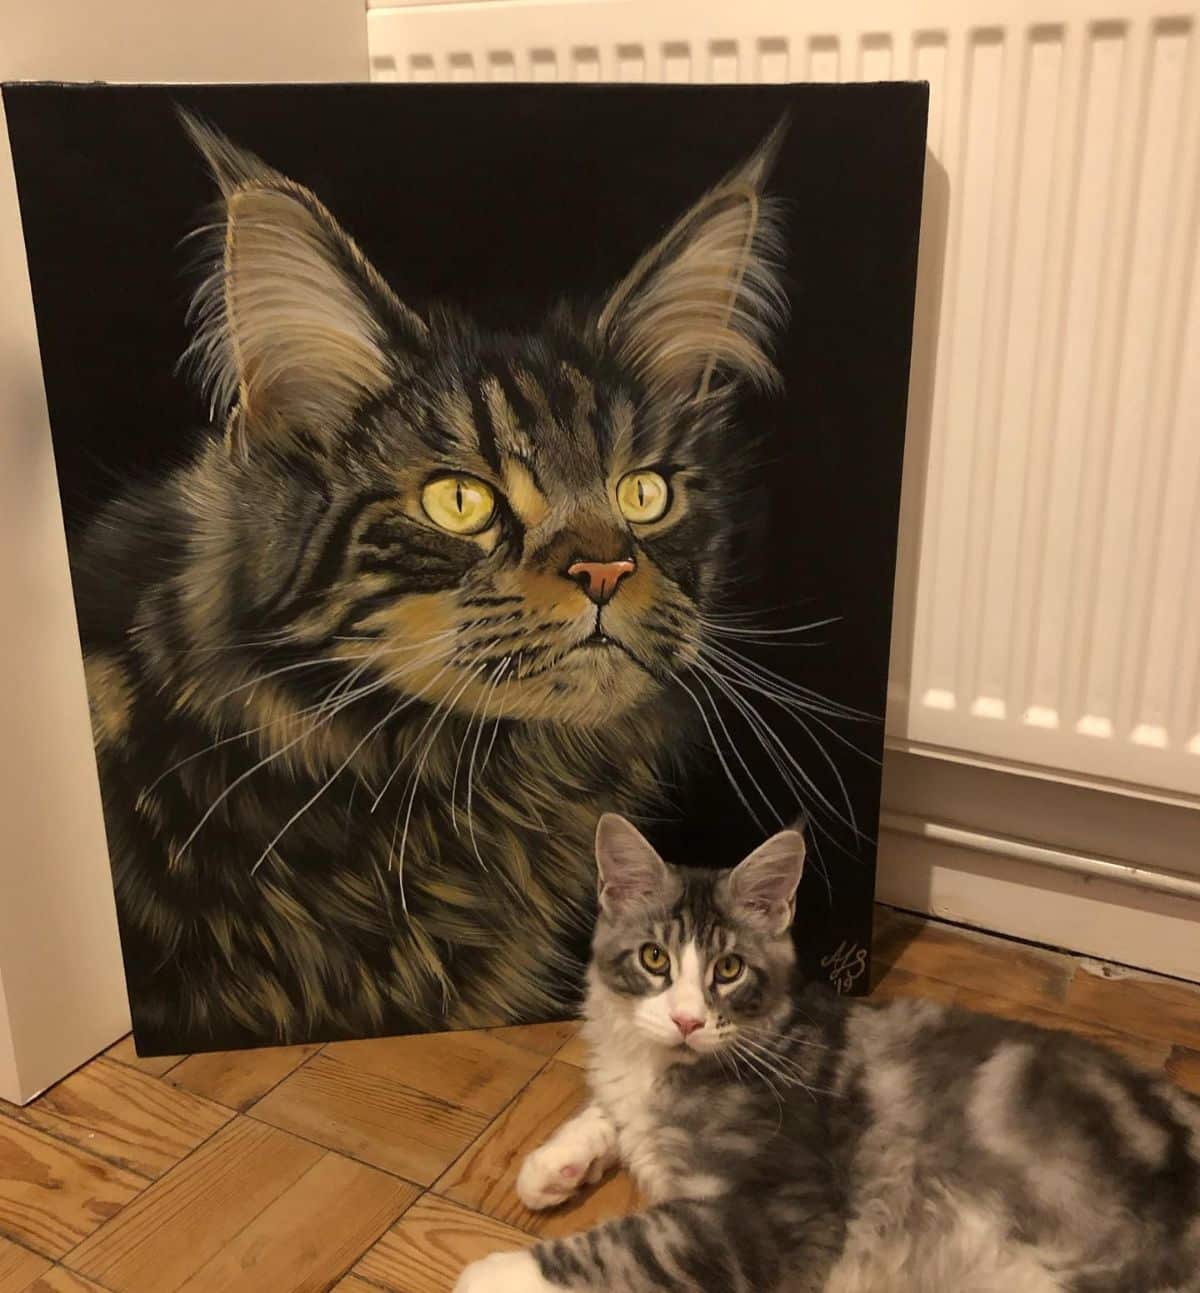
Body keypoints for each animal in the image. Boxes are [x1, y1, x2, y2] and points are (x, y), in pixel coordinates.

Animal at [452, 817, 1200, 1293]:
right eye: (654, 959)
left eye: (728, 969)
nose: (688, 1019)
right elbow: (607, 1105)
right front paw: (553, 1164)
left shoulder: (774, 1212)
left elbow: (627, 1245)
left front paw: (493, 1272)